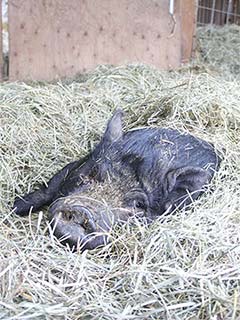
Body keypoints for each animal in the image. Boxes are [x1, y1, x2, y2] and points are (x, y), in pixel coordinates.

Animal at [12, 110, 219, 250]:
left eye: (138, 205)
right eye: (90, 175)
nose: (81, 212)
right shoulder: (72, 167)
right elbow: (48, 188)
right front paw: (14, 206)